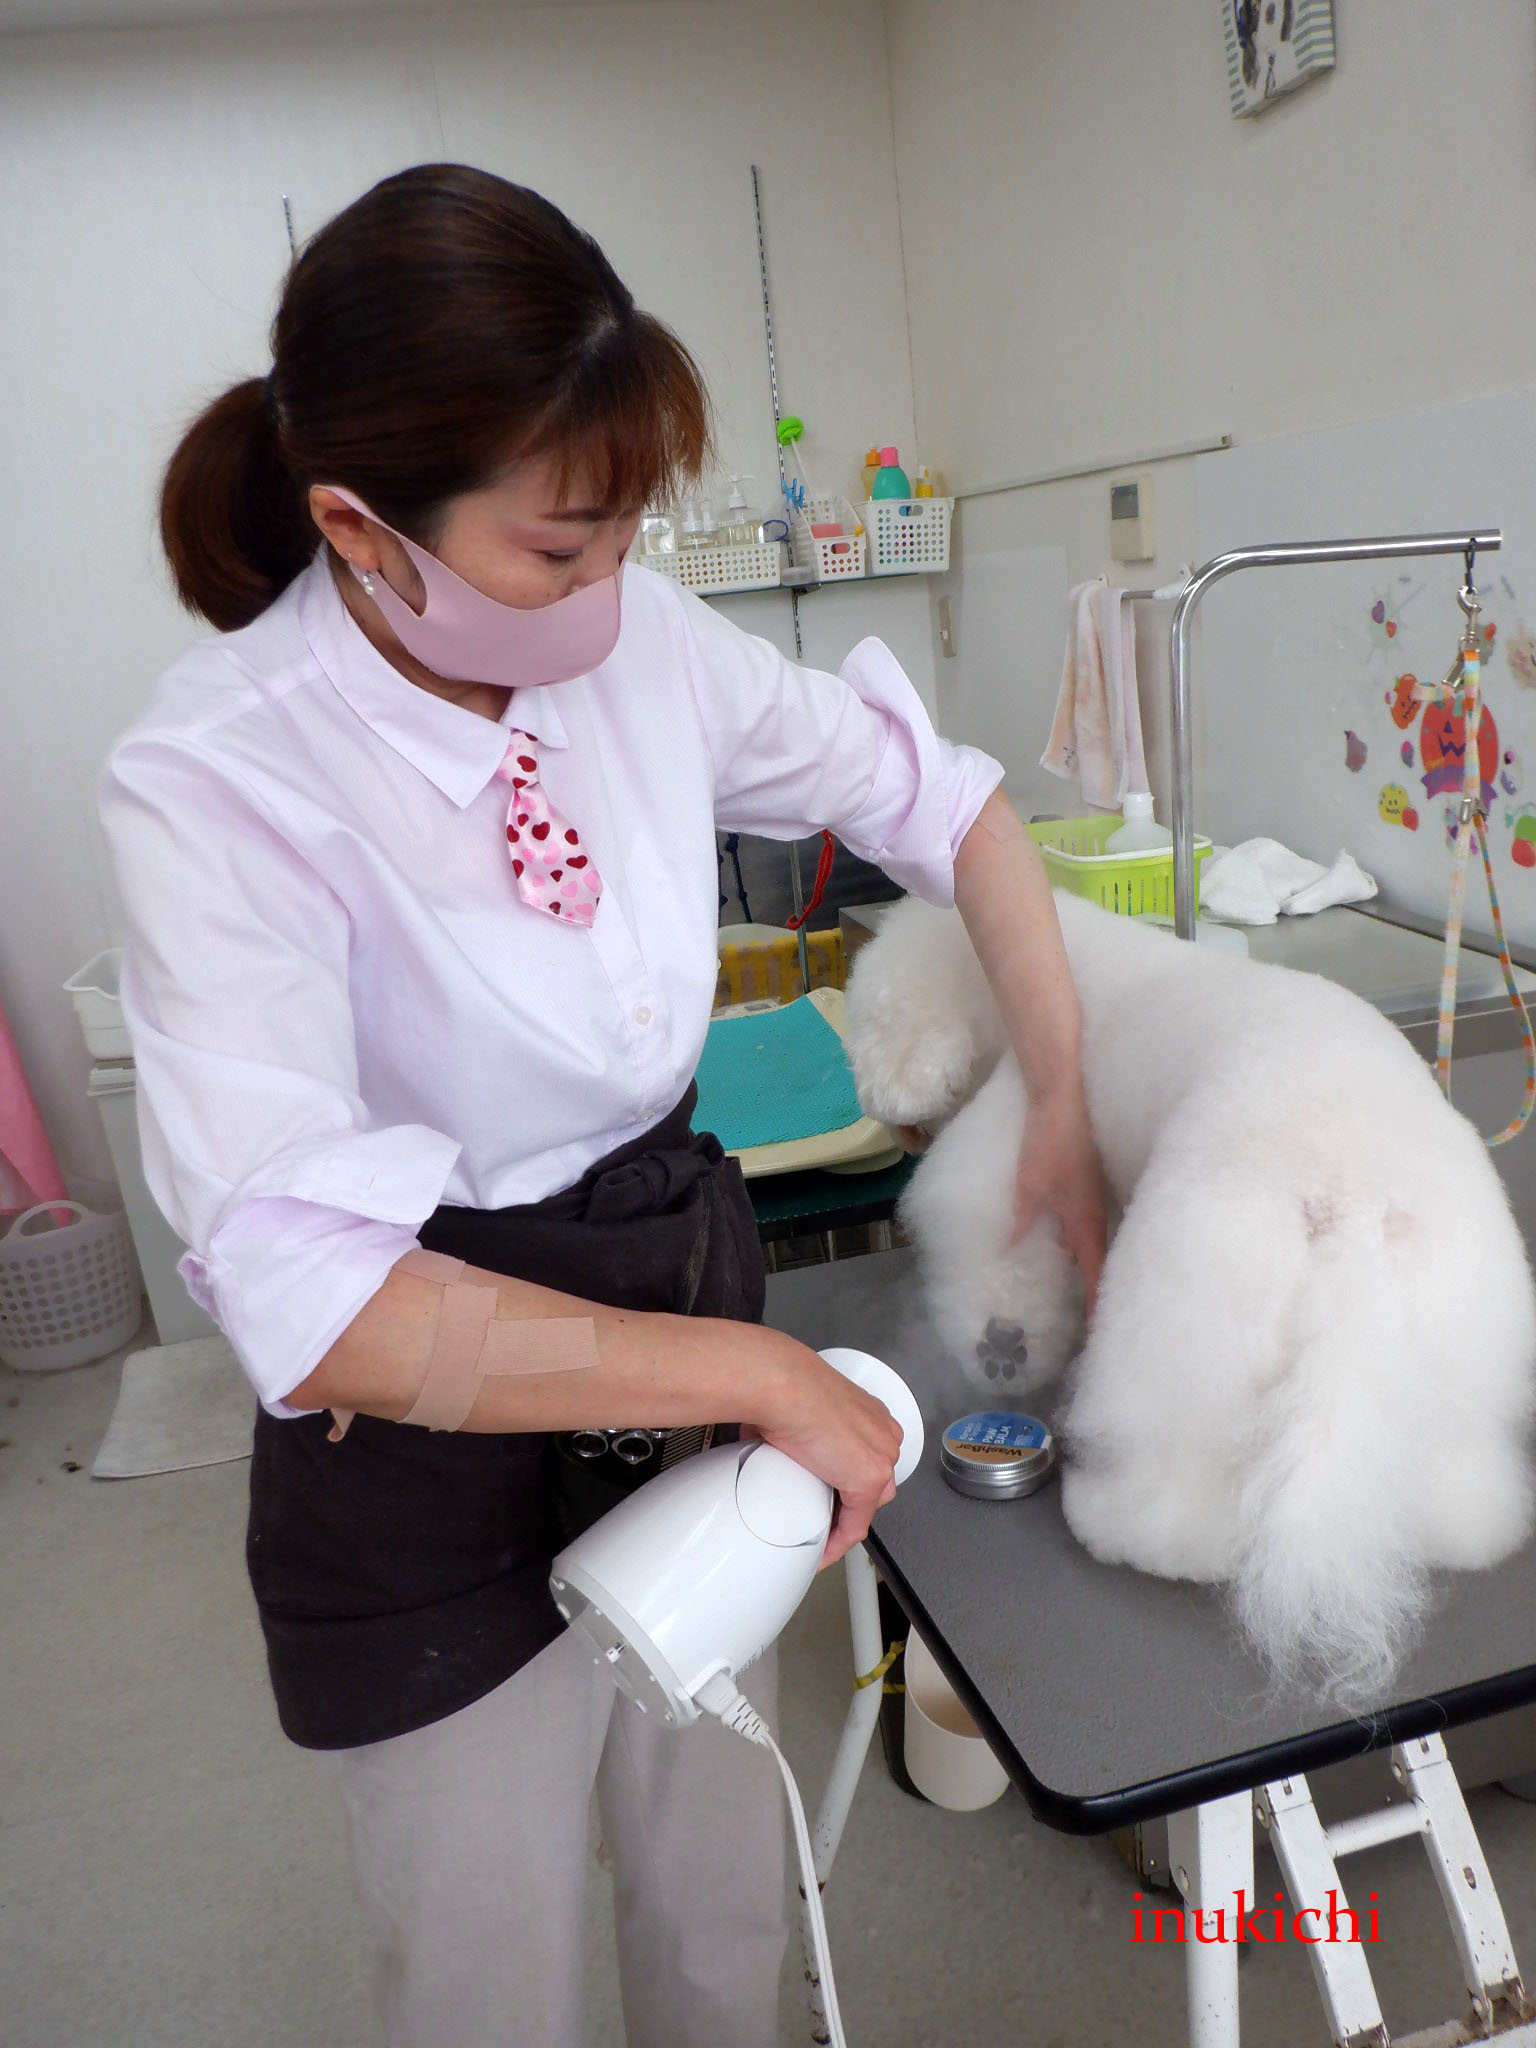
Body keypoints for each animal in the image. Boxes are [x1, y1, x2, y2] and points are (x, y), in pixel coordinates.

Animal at [843, 891, 1536, 1696]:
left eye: (870, 1024)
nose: (884, 1110)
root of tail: (1349, 1204)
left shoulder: (1030, 1127)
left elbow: (993, 1241)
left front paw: (1005, 1351)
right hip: (1450, 1344)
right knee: (1458, 1485)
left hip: (1189, 1312)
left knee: (1183, 1507)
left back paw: (1117, 1520)